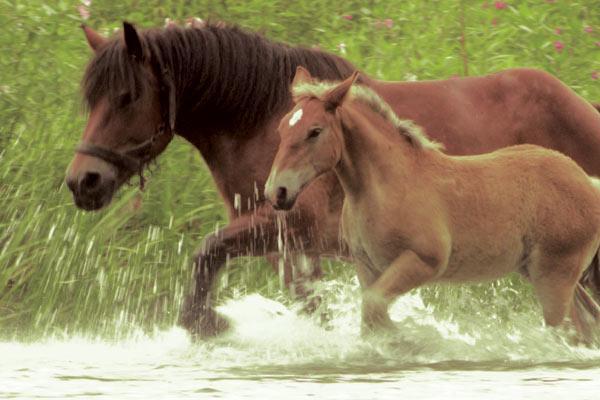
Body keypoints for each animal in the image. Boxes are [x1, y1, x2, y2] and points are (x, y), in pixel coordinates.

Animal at [65, 20, 600, 336]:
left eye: (128, 96)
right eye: (90, 98)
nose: (82, 181)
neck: (262, 120)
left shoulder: (287, 227)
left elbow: (207, 251)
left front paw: (206, 323)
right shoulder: (291, 248)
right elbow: (310, 306)